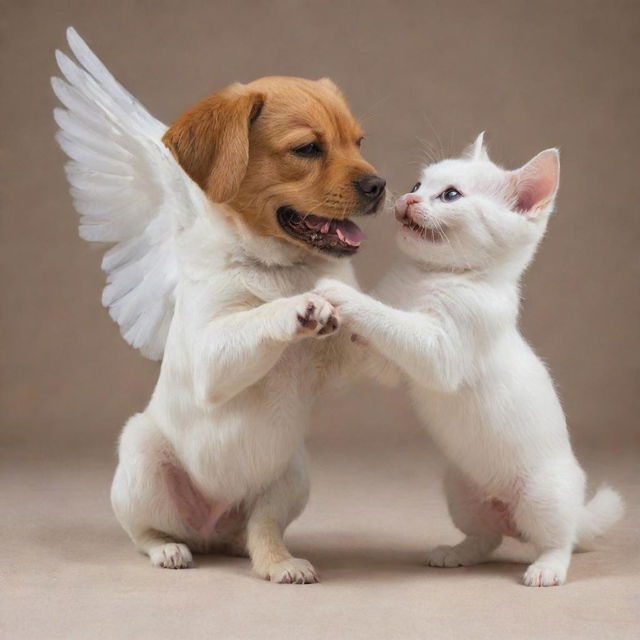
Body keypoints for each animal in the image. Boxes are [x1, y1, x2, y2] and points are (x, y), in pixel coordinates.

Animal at [52, 27, 382, 584]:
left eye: (358, 143)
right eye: (308, 148)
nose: (379, 186)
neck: (277, 266)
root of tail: (210, 527)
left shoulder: (340, 363)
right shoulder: (211, 353)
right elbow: (254, 318)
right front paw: (301, 305)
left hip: (290, 473)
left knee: (260, 531)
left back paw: (277, 561)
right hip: (141, 454)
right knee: (144, 533)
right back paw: (169, 549)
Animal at [318, 134, 624, 584]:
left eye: (450, 195)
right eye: (418, 183)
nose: (408, 198)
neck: (429, 276)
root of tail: (510, 514)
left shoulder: (440, 352)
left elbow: (393, 321)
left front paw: (341, 293)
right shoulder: (392, 365)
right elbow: (379, 343)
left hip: (544, 495)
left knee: (558, 539)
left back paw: (547, 568)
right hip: (460, 489)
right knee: (486, 539)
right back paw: (456, 553)